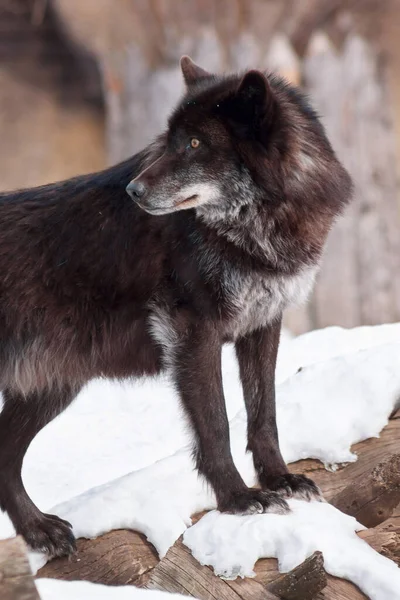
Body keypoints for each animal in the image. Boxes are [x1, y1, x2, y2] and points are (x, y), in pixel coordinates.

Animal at [0, 57, 350, 556]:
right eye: (169, 141)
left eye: (196, 143)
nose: (133, 191)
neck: (254, 229)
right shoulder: (192, 331)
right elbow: (216, 424)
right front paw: (239, 499)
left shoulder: (262, 324)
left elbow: (265, 414)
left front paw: (281, 479)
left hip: (50, 388)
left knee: (5, 457)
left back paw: (38, 531)